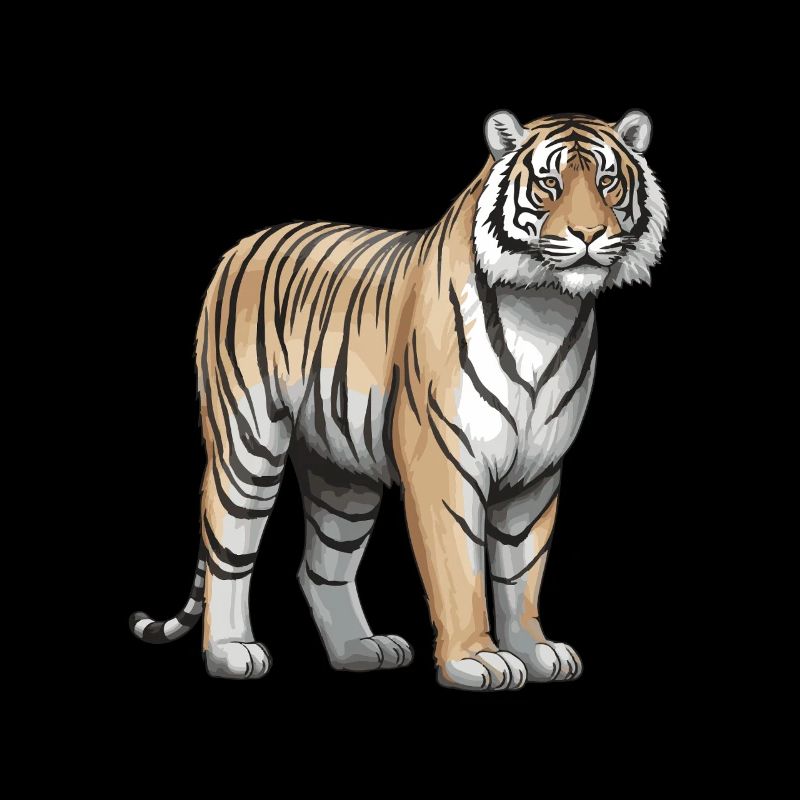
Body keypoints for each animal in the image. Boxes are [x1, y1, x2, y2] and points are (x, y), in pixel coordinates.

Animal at [130, 109, 667, 690]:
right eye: (550, 184)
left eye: (608, 182)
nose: (590, 234)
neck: (546, 307)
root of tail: (243, 244)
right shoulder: (444, 458)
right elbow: (459, 567)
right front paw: (476, 660)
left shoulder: (537, 471)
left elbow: (523, 571)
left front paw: (537, 652)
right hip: (247, 439)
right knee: (227, 544)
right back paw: (232, 652)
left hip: (342, 470)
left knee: (320, 568)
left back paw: (360, 651)